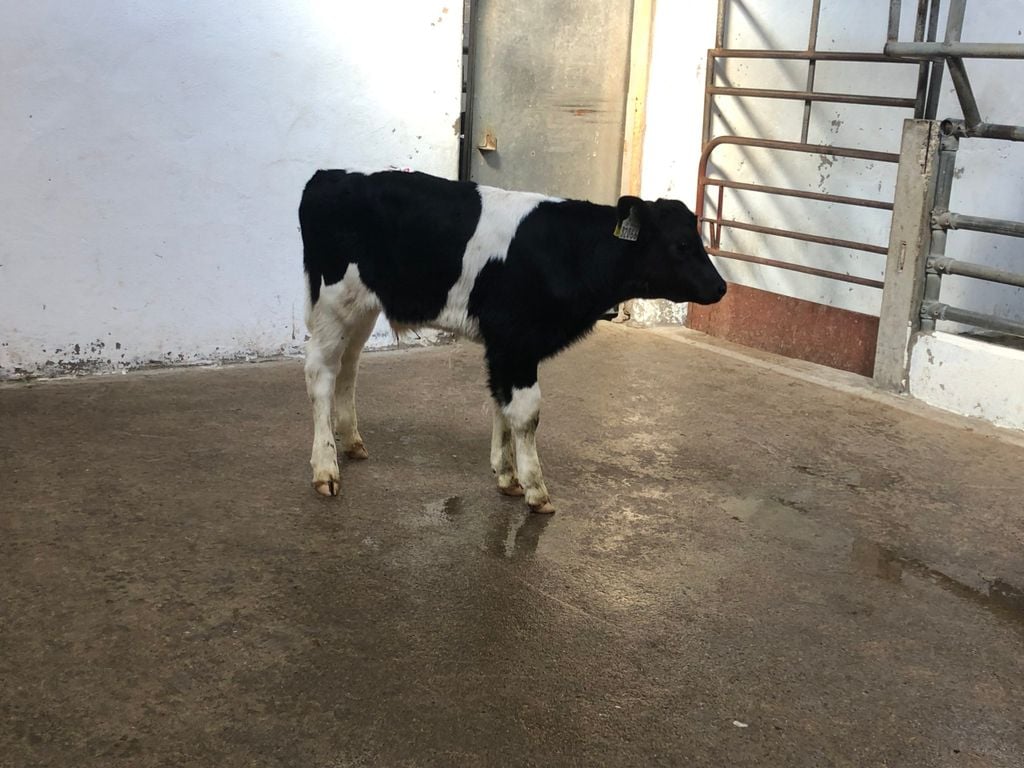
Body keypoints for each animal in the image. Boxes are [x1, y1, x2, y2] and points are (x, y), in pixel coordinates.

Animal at [299, 169, 726, 513]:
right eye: (681, 245)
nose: (721, 286)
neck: (568, 250)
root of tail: (328, 175)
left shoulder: (504, 345)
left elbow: (501, 404)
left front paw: (507, 476)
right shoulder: (517, 342)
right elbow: (525, 413)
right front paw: (535, 488)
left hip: (362, 307)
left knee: (349, 365)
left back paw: (352, 441)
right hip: (335, 302)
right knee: (321, 372)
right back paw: (326, 468)